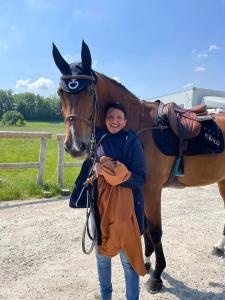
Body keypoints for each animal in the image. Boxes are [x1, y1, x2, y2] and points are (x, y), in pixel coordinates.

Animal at [52, 40, 225, 292]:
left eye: (91, 92)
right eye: (60, 93)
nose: (75, 145)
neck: (137, 126)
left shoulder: (152, 189)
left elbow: (155, 230)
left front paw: (157, 276)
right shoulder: (140, 188)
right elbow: (144, 228)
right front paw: (146, 261)